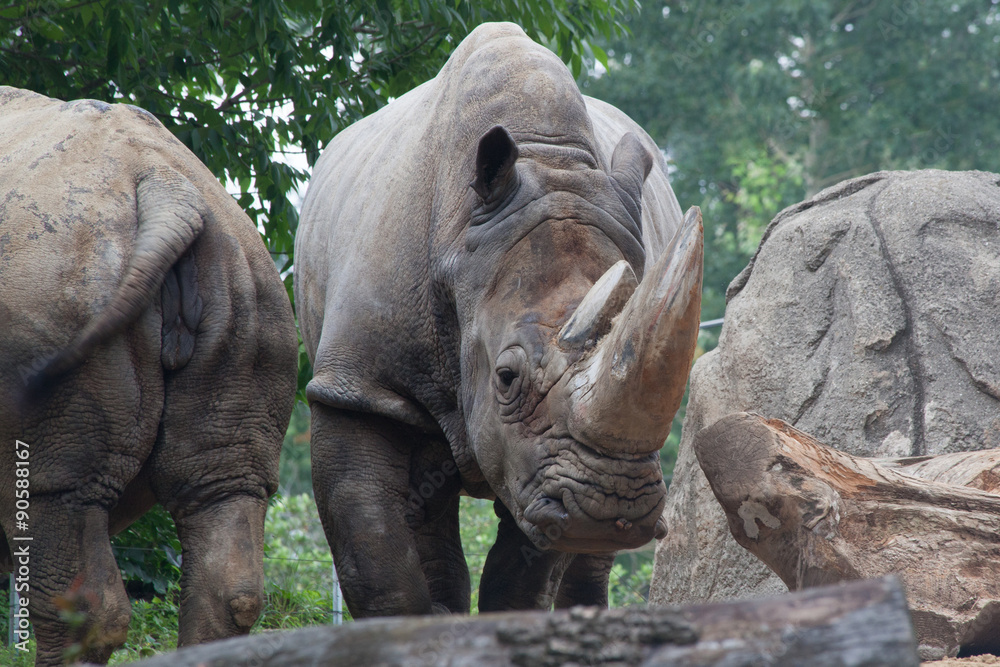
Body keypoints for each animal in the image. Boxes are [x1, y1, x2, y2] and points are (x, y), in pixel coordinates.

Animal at [294, 22, 703, 615]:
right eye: (506, 377)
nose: (609, 507)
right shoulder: (358, 387)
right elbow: (377, 561)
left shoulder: (547, 467)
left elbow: (521, 579)